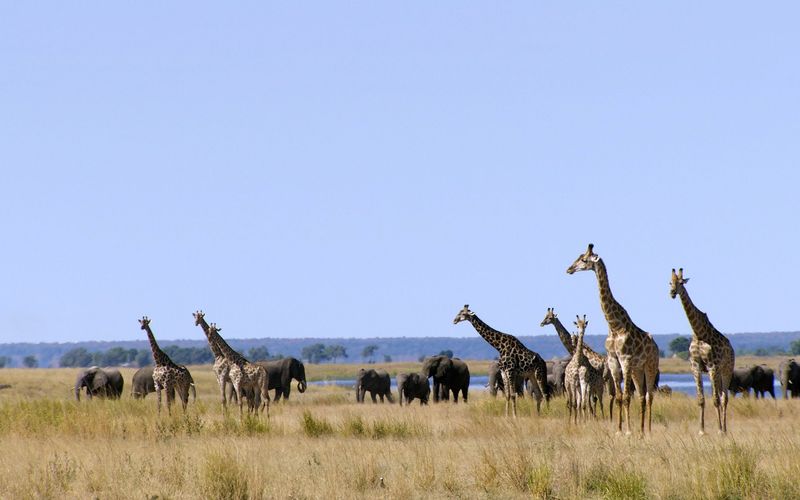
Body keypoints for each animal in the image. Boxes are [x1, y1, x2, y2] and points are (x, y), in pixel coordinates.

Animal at [568, 244, 664, 436]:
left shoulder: (625, 360)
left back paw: (648, 430)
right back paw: (641, 430)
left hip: (650, 366)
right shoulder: (613, 361)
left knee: (649, 396)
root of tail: (656, 346)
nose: (569, 269)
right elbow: (619, 397)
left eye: (584, 260)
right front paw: (620, 430)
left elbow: (626, 397)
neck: (614, 326)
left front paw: (628, 431)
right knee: (641, 397)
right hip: (637, 370)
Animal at [672, 268, 736, 436]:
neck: (699, 333)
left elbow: (715, 400)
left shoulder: (712, 366)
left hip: (726, 370)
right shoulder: (695, 366)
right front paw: (701, 430)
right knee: (721, 395)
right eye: (670, 282)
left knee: (724, 398)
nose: (672, 292)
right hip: (717, 374)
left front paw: (719, 429)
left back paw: (725, 429)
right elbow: (701, 399)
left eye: (681, 282)